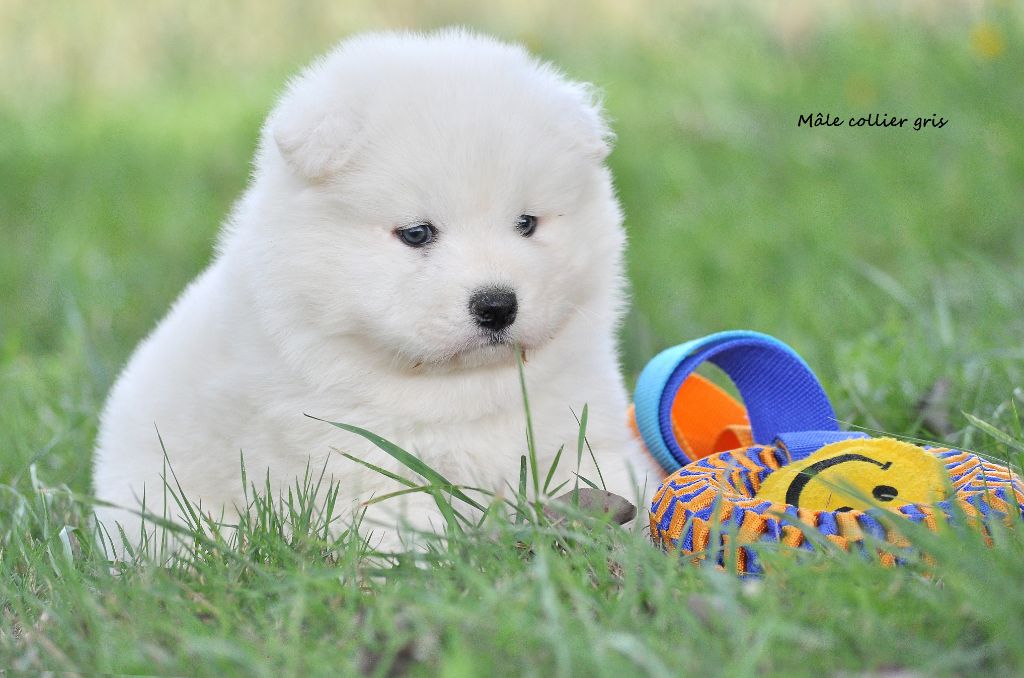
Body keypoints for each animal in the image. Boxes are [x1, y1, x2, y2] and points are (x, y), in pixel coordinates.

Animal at [92, 29, 659, 557]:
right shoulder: (356, 461)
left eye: (527, 224)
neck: (458, 388)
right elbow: (408, 524)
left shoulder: (579, 420)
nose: (497, 305)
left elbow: (605, 473)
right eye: (416, 234)